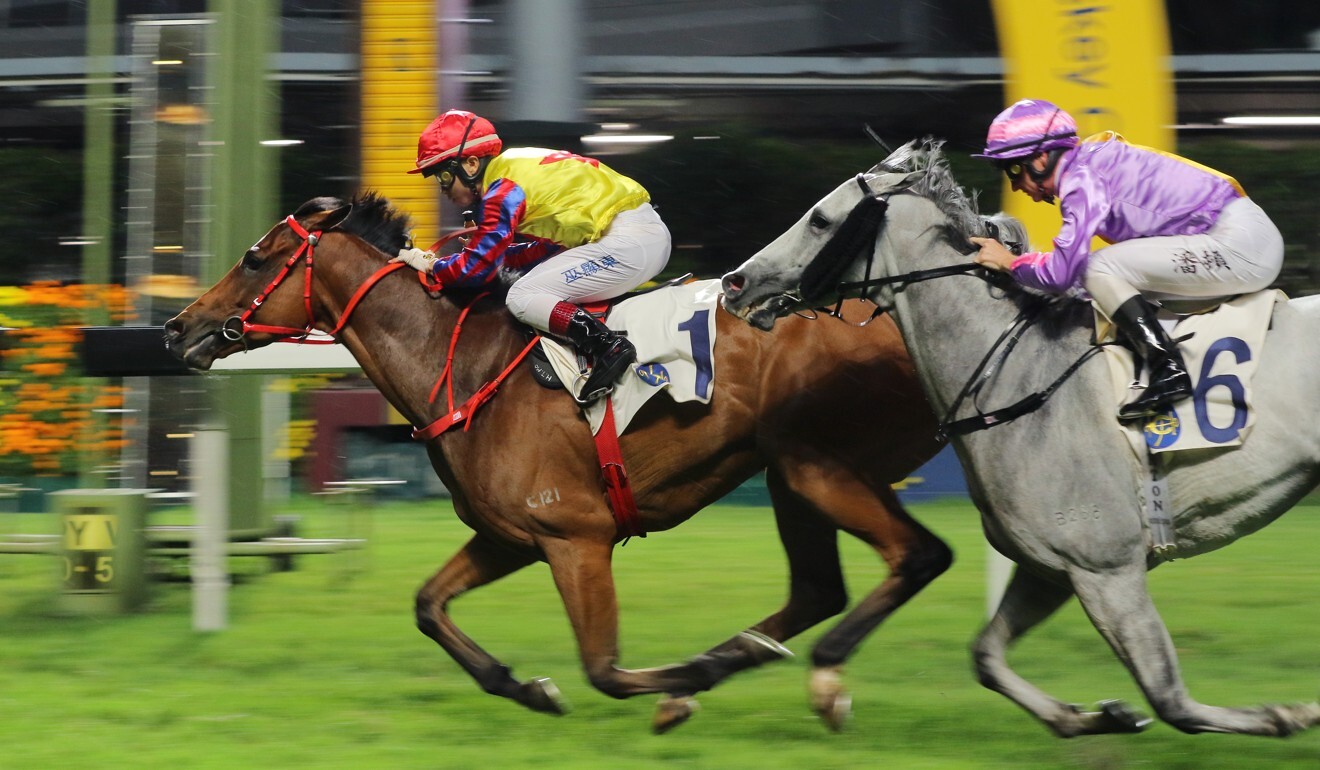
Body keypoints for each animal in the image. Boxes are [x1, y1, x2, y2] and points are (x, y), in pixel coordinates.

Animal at [165, 191, 950, 729]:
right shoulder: (513, 536)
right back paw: (740, 658)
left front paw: (673, 689)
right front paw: (527, 687)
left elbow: (603, 669)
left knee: (918, 556)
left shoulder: (577, 537)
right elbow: (428, 606)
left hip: (820, 463)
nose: (178, 327)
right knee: (820, 590)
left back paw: (799, 677)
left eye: (254, 258)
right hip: (790, 471)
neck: (462, 366)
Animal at [718, 138, 1320, 739]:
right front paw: (1094, 715)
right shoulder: (1051, 569)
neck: (1022, 373)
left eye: (819, 219)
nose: (734, 282)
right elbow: (986, 658)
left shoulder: (1107, 568)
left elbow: (1173, 701)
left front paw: (1286, 713)